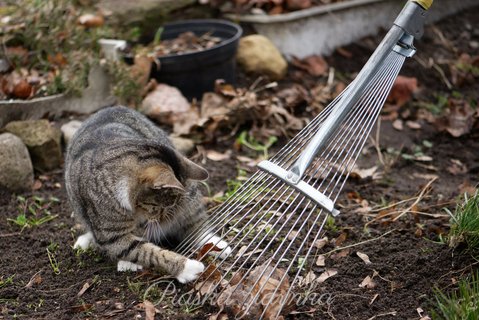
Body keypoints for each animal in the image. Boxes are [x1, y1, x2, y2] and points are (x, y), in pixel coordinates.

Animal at [65, 106, 231, 284]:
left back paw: (215, 244)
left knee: (195, 223)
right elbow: (147, 252)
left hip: (190, 195)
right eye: (160, 206)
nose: (164, 218)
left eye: (168, 206)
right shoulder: (112, 235)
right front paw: (186, 267)